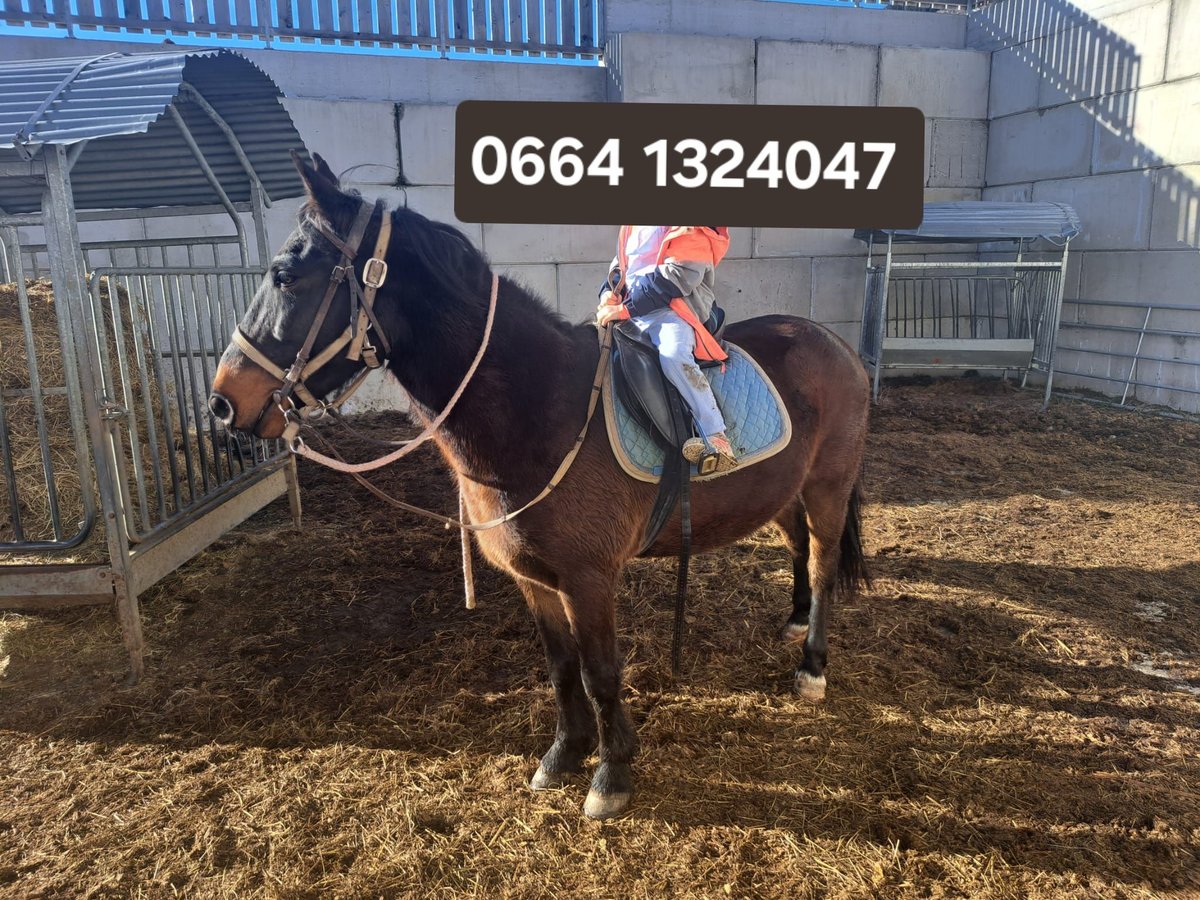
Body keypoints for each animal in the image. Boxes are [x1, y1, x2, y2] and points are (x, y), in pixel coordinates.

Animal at [211, 153, 868, 816]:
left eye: (286, 276)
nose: (222, 401)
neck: (543, 408)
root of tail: (835, 342)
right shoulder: (533, 577)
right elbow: (560, 668)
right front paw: (564, 753)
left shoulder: (588, 578)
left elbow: (600, 672)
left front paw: (612, 773)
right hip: (782, 490)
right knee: (798, 546)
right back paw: (794, 620)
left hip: (828, 484)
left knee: (821, 560)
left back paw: (812, 666)